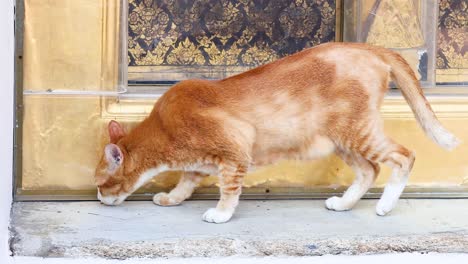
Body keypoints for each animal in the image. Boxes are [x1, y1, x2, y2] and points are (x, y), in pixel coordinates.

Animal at [93, 42, 458, 223]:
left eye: (100, 183)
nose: (98, 199)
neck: (165, 128)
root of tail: (372, 48)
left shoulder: (235, 151)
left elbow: (229, 189)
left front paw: (221, 214)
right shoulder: (201, 162)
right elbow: (185, 182)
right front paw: (170, 197)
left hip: (358, 132)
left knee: (404, 156)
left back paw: (385, 206)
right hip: (340, 139)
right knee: (369, 169)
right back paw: (344, 203)